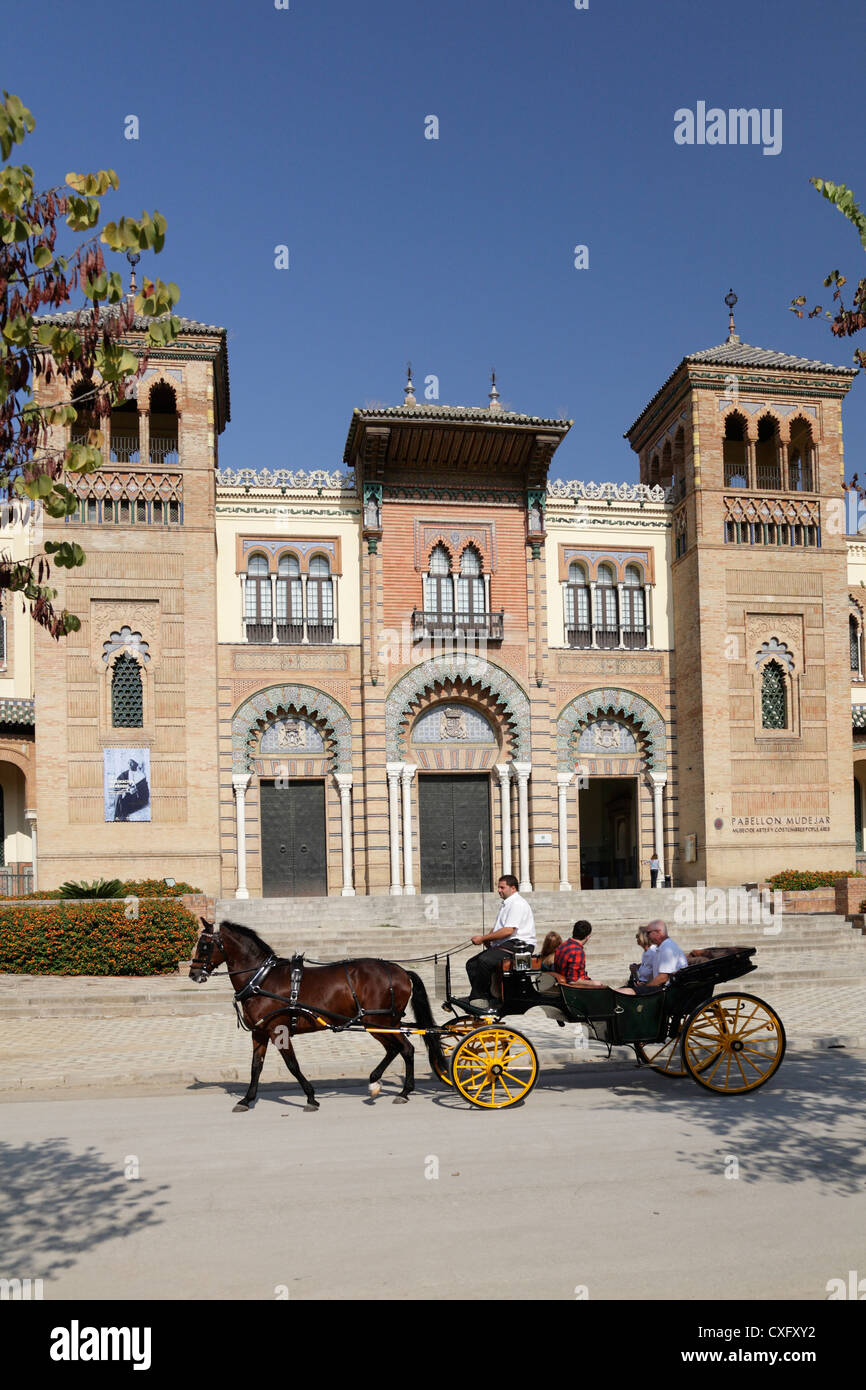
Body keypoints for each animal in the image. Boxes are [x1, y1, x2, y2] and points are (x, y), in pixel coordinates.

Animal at [191, 917, 447, 1112]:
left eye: (204, 946)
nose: (193, 974)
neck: (261, 980)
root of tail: (400, 971)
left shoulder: (278, 1031)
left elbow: (292, 1065)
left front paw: (311, 1097)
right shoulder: (260, 1032)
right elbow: (256, 1066)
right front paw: (246, 1099)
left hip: (379, 1020)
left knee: (406, 1049)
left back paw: (403, 1091)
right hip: (378, 1023)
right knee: (395, 1049)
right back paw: (376, 1081)